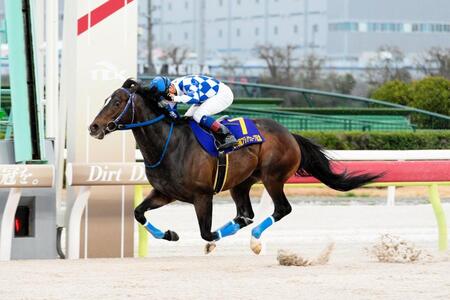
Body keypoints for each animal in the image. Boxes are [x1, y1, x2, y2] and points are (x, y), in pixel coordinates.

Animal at [89, 78, 382, 254]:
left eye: (117, 102)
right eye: (105, 100)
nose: (93, 127)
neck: (169, 144)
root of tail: (289, 134)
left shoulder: (202, 196)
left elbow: (205, 232)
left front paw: (209, 241)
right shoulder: (165, 192)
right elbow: (138, 213)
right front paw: (170, 234)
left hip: (273, 177)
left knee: (280, 209)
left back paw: (255, 240)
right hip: (241, 183)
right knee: (245, 214)